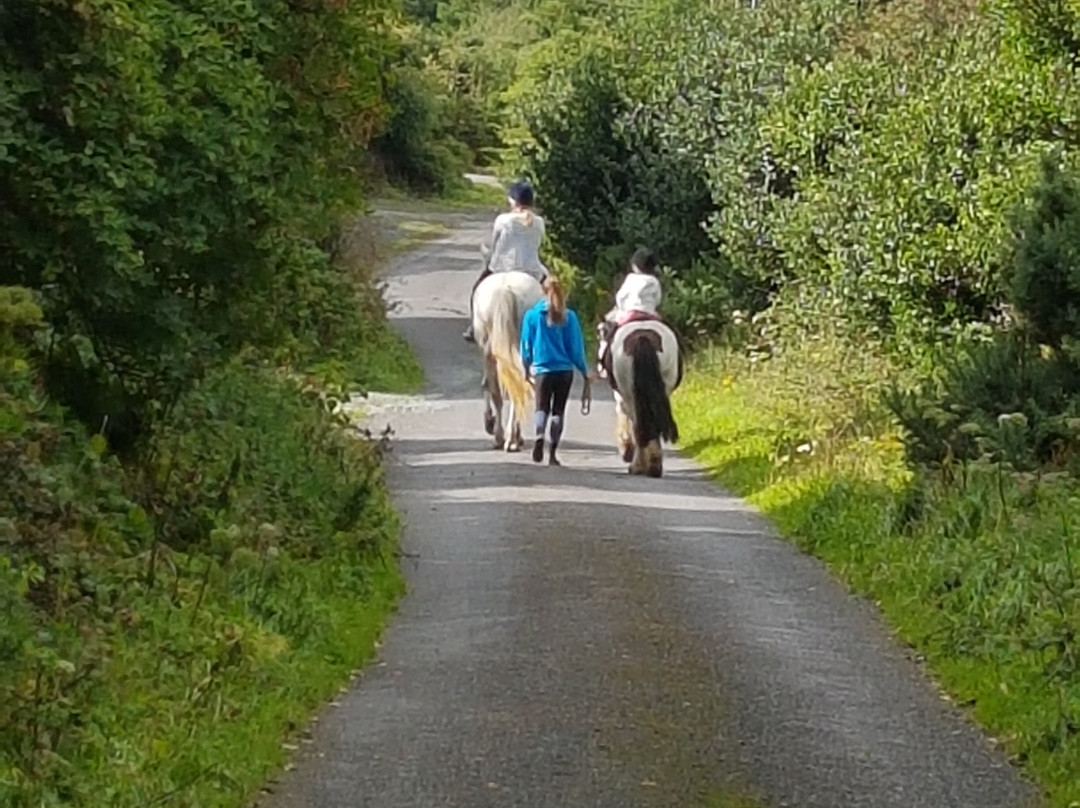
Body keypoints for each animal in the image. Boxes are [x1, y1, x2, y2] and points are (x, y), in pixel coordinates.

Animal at [473, 267, 544, 451]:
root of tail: (505, 290)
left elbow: (488, 386)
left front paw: (490, 423)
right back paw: (512, 439)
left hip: (492, 353)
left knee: (503, 392)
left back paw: (504, 438)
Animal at [613, 319, 678, 477]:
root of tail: (643, 338)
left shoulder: (623, 397)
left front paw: (626, 449)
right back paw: (654, 466)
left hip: (631, 395)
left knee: (640, 428)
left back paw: (639, 467)